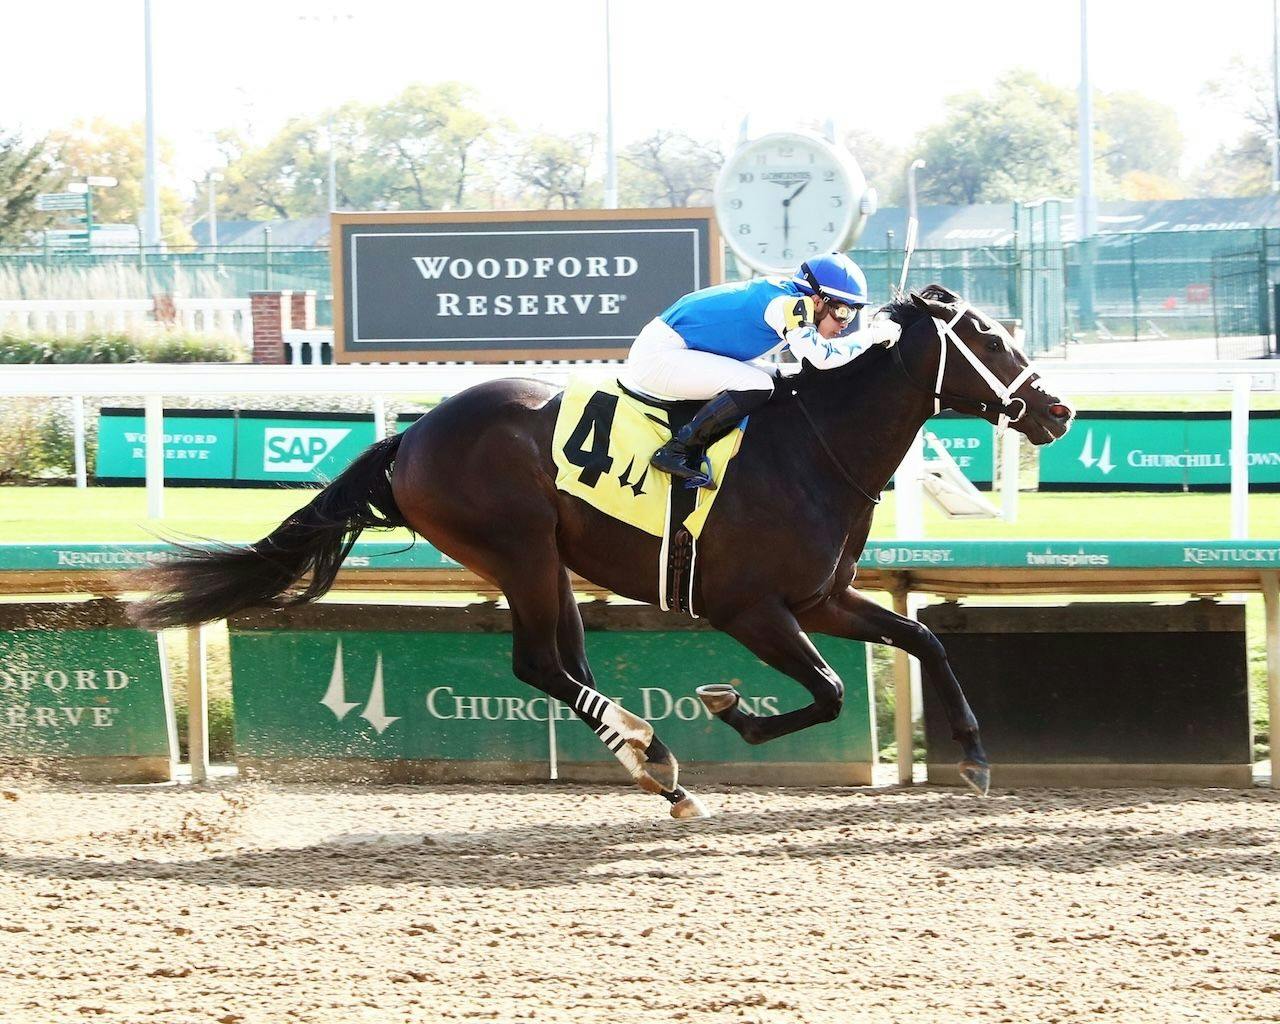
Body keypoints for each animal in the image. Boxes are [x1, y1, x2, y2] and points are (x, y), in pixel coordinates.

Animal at [132, 285, 1070, 814]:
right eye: (990, 338)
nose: (1057, 410)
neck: (814, 449)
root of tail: (410, 438)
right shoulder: (750, 609)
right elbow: (833, 692)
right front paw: (729, 708)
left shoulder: (822, 598)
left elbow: (923, 639)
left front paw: (976, 759)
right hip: (519, 550)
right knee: (538, 665)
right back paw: (655, 755)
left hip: (545, 561)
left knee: (566, 664)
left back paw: (658, 768)